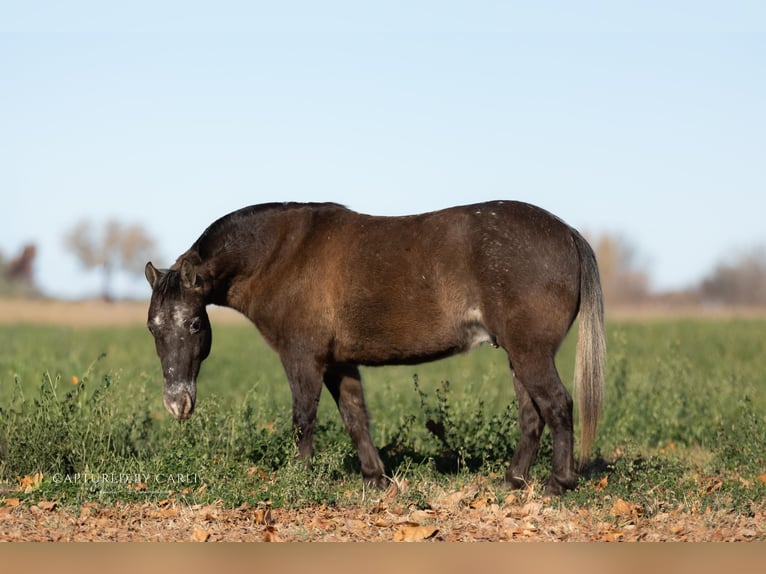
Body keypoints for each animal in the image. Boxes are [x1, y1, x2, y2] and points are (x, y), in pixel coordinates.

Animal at [144, 200, 605, 494]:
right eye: (153, 328)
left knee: (558, 406)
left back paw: (557, 484)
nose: (177, 404)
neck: (282, 255)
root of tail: (567, 233)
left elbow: (303, 420)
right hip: (518, 356)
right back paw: (512, 482)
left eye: (194, 323)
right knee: (532, 416)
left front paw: (300, 478)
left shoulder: (303, 360)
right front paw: (375, 479)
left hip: (530, 354)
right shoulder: (338, 364)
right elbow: (356, 419)